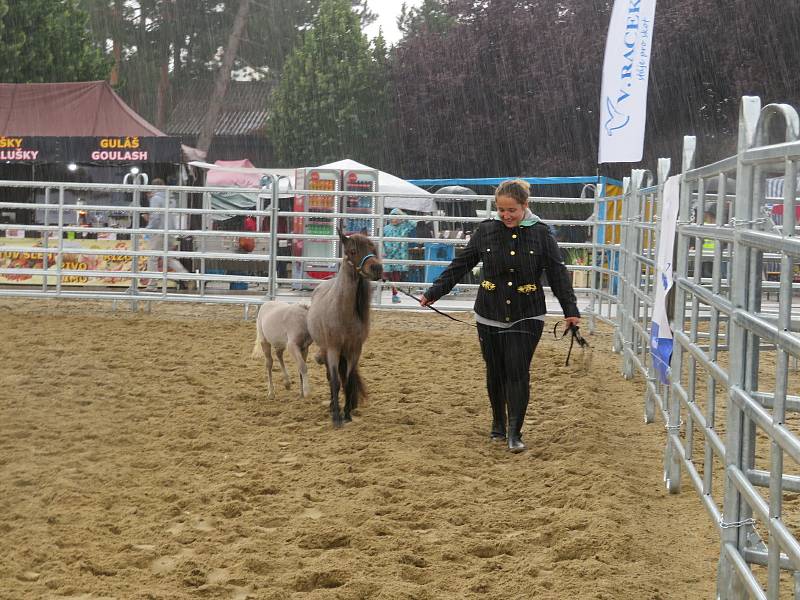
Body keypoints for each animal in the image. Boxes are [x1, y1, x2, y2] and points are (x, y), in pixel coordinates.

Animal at [304, 225, 382, 426]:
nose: (377, 268)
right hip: (326, 350)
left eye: (373, 249)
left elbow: (348, 381)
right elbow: (335, 382)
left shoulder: (355, 350)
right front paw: (337, 418)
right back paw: (332, 405)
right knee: (330, 377)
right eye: (353, 251)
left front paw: (347, 414)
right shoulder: (333, 349)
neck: (342, 312)